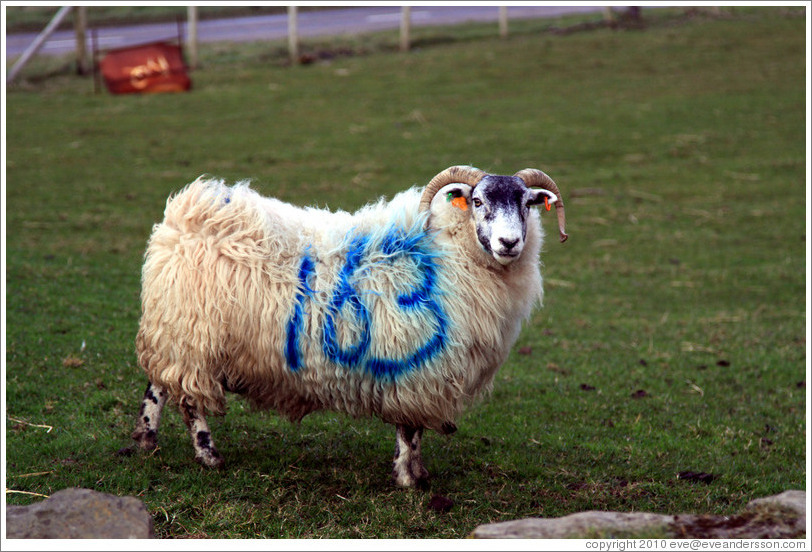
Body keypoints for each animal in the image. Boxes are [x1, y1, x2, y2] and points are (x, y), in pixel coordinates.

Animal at [132, 165, 564, 488]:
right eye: (477, 201)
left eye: (526, 203)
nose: (509, 243)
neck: (446, 252)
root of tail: (183, 214)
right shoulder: (412, 366)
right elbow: (409, 429)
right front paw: (408, 479)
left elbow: (416, 431)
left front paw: (419, 473)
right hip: (190, 334)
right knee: (187, 398)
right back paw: (208, 455)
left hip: (174, 328)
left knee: (157, 385)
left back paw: (144, 440)